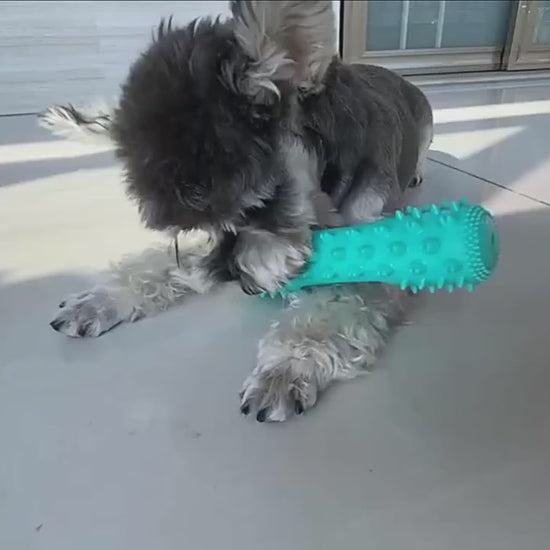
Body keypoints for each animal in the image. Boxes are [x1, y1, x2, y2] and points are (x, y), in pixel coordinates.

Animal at [40, 1, 433, 422]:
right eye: (194, 225)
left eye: (266, 201)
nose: (238, 282)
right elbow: (157, 264)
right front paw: (100, 300)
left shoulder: (375, 260)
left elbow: (327, 310)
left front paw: (285, 369)